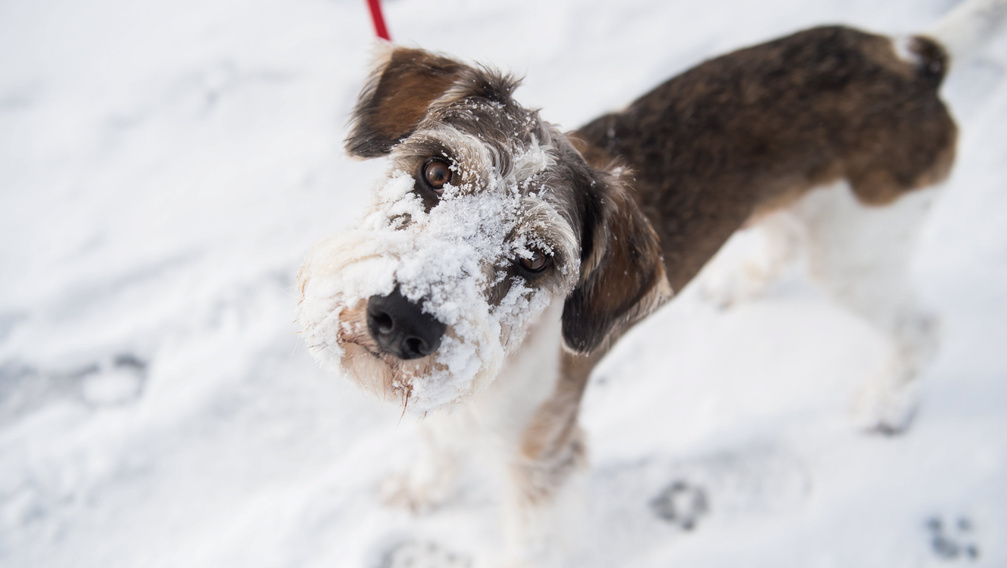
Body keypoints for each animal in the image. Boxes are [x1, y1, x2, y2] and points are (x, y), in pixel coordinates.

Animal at [298, 0, 1007, 559]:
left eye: (537, 259)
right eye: (438, 171)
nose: (403, 320)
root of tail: (916, 60)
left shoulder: (545, 462)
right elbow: (438, 442)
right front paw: (422, 488)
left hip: (856, 255)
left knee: (921, 327)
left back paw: (886, 403)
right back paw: (738, 284)